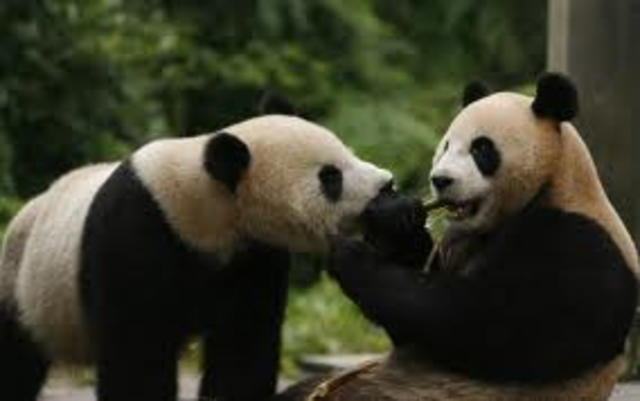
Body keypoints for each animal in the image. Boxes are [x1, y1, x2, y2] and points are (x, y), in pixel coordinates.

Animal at [0, 115, 395, 401]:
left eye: (348, 153)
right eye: (330, 177)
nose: (387, 184)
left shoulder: (251, 256)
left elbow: (242, 345)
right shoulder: (135, 233)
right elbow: (137, 352)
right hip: (22, 284)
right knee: (17, 360)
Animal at [276, 74, 639, 401]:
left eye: (482, 149)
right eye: (446, 145)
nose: (441, 180)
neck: (552, 184)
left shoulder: (576, 243)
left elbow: (483, 325)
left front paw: (351, 256)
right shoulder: (460, 240)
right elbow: (410, 325)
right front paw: (395, 216)